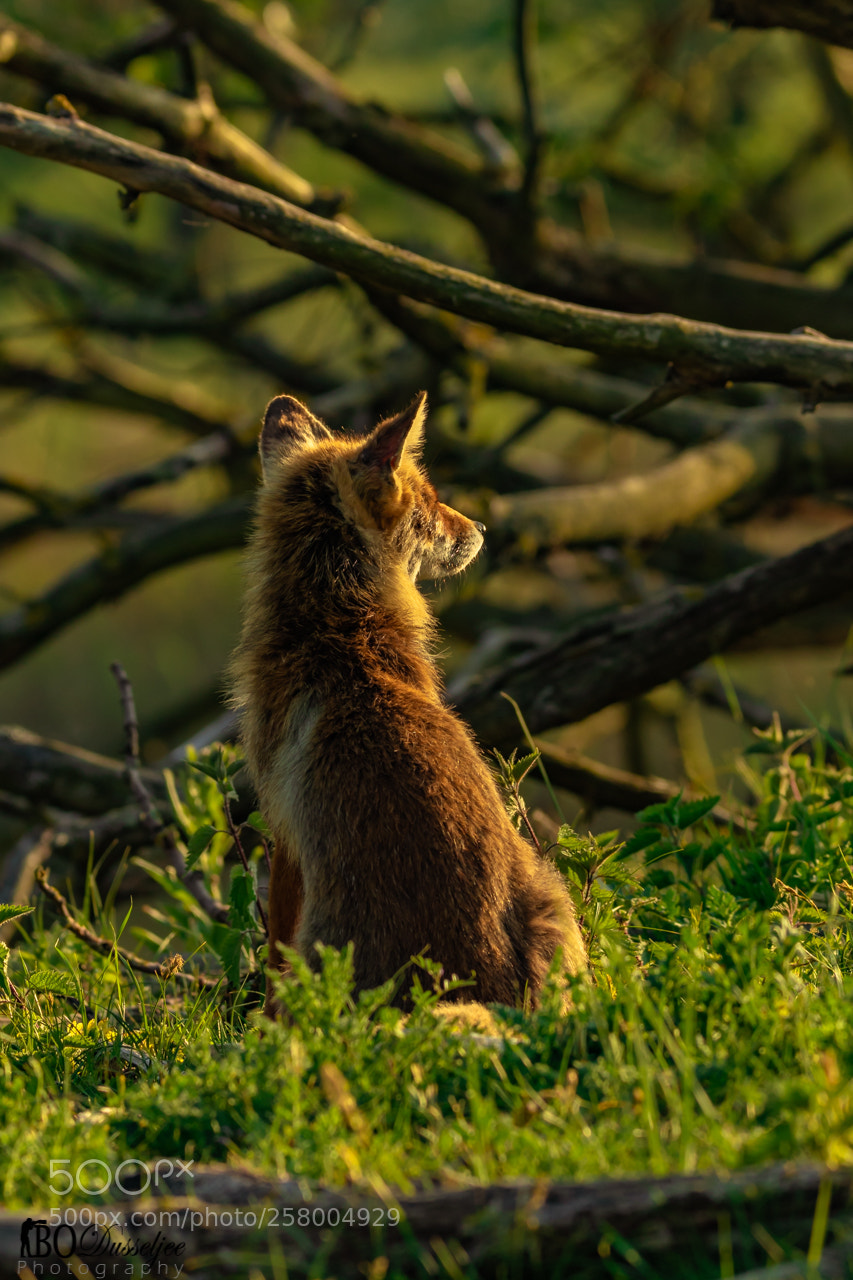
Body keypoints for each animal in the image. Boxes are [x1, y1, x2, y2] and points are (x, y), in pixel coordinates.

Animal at [229, 390, 586, 1019]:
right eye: (432, 501)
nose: (483, 527)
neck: (340, 632)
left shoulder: (285, 834)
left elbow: (272, 963)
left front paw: (258, 1033)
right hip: (554, 899)